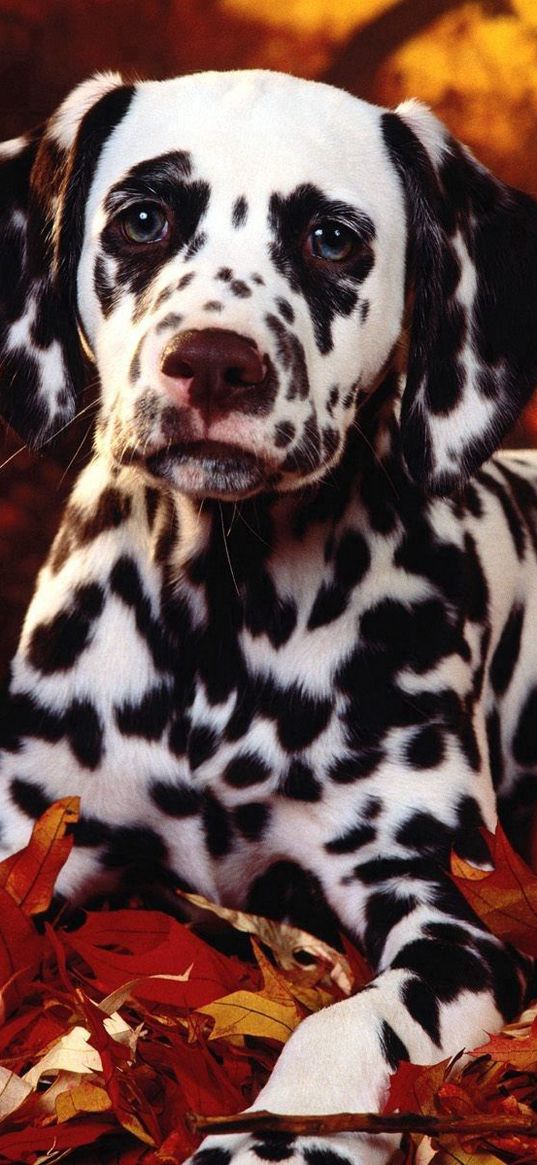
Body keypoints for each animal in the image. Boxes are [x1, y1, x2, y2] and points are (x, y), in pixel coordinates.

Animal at [1, 70, 535, 1165]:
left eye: (332, 238)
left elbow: (351, 1018)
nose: (214, 361)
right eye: (144, 219)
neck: (221, 625)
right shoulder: (29, 825)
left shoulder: (451, 915)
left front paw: (274, 1134)